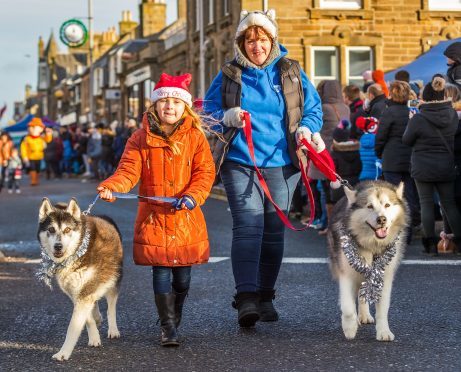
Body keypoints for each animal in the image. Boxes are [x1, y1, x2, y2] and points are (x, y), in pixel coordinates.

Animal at [37, 198, 123, 360]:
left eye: (67, 230)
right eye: (51, 229)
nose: (58, 246)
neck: (77, 253)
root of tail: (103, 217)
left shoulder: (84, 294)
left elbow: (73, 327)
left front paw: (63, 353)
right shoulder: (75, 293)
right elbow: (87, 319)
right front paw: (94, 337)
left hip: (113, 280)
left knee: (111, 307)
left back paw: (113, 330)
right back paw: (97, 316)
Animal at [328, 182, 406, 342]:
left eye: (387, 205)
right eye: (369, 206)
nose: (381, 219)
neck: (372, 244)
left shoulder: (384, 276)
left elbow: (383, 308)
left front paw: (384, 331)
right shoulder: (346, 273)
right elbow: (347, 306)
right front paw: (350, 327)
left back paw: (364, 315)